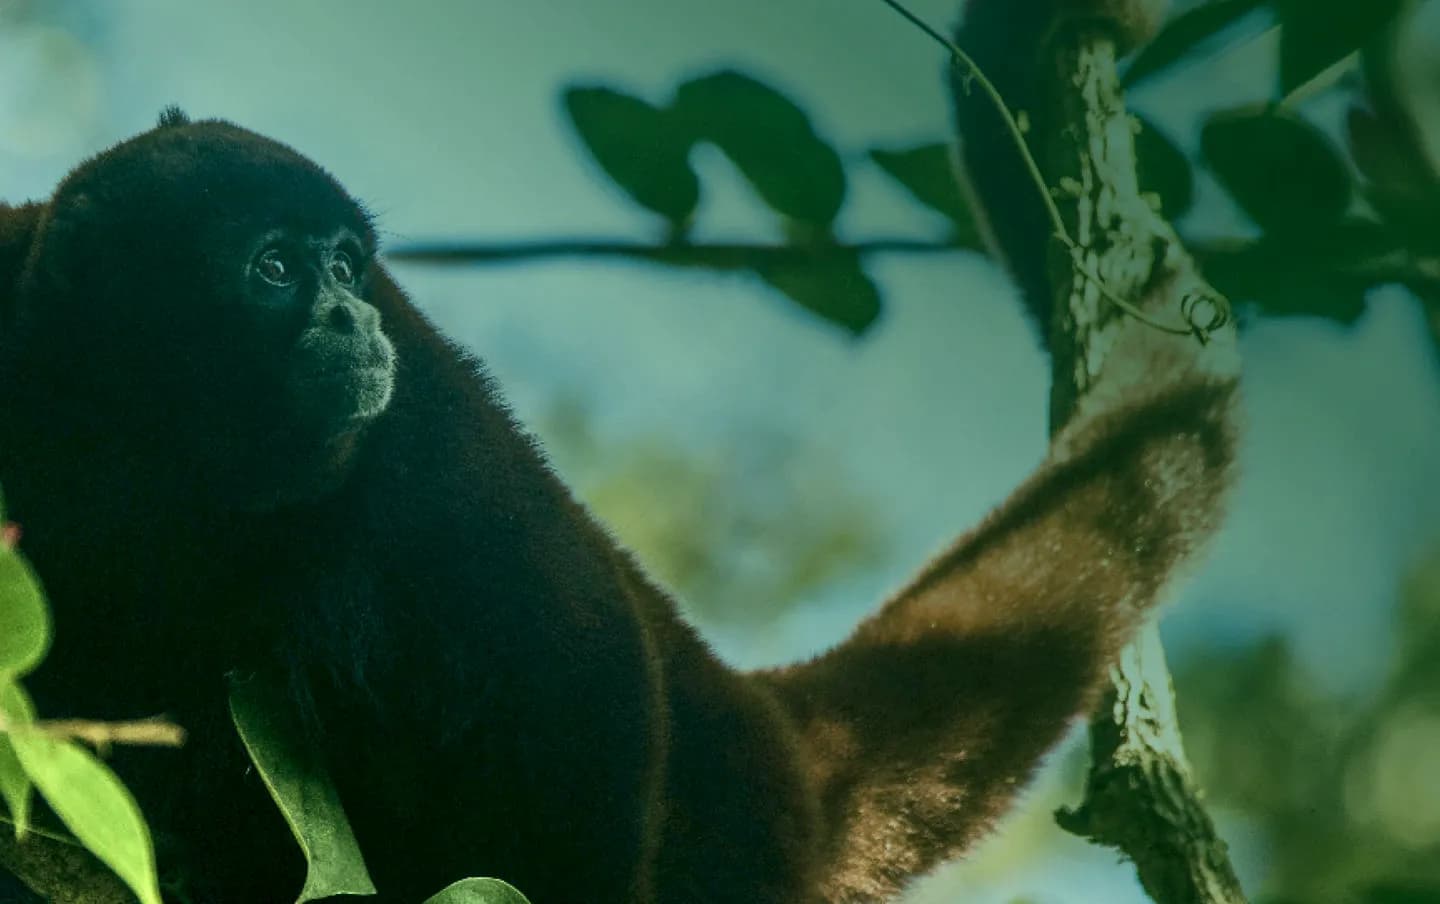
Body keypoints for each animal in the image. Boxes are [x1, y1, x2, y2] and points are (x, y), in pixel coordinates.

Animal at [0, 28, 1233, 903]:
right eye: (272, 268)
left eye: (346, 263)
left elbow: (576, 683)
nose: (354, 319)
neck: (156, 446)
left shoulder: (429, 455)